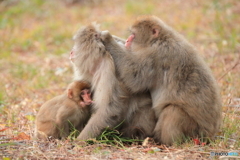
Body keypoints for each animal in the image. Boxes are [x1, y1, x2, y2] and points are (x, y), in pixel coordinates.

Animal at [100, 15, 222, 145]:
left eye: (133, 34)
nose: (128, 41)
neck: (160, 39)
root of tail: (210, 135)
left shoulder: (157, 55)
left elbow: (135, 76)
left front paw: (108, 38)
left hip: (194, 131)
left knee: (172, 111)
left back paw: (167, 142)